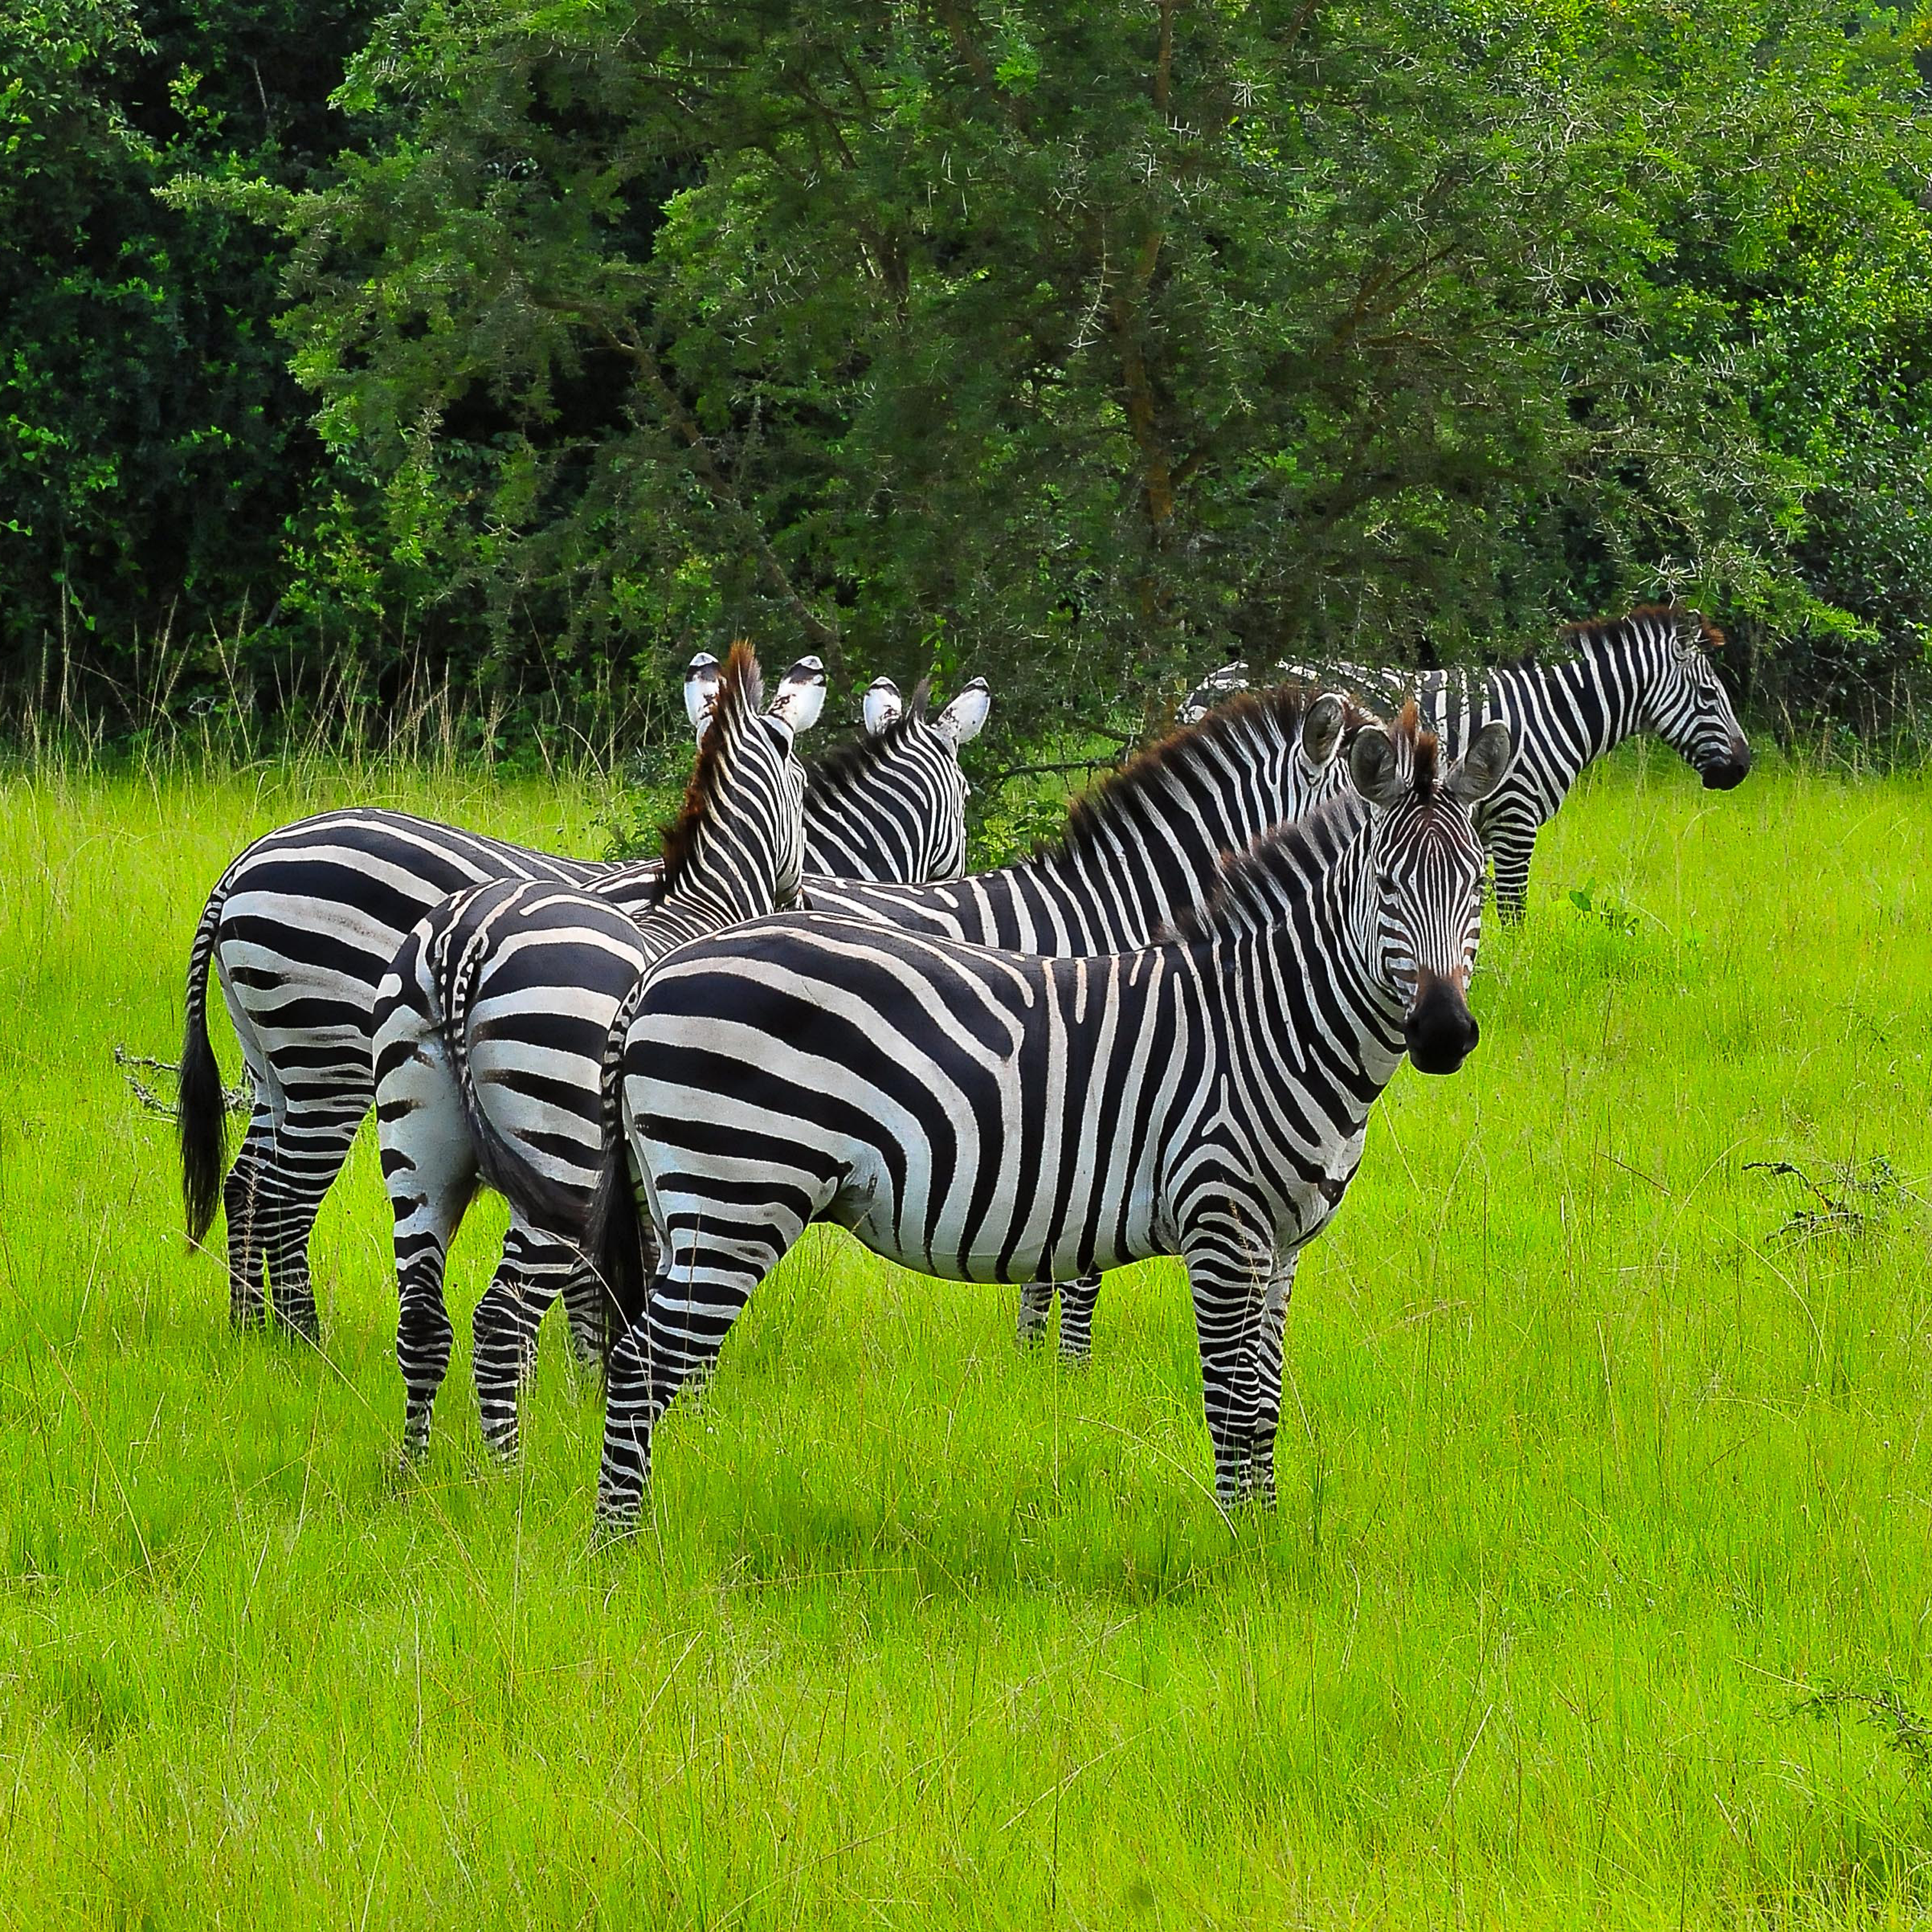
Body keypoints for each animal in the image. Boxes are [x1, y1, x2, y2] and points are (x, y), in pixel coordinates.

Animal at [176, 665, 990, 1342]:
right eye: (968, 801)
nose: (805, 898)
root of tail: (244, 862)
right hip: (329, 1063)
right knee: (283, 1200)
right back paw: (302, 1342)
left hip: (274, 1058)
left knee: (247, 1186)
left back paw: (252, 1334)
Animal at [374, 644, 825, 1458]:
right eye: (805, 794)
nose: (802, 900)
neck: (696, 912)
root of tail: (465, 946)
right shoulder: (678, 1167)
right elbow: (658, 1289)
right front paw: (685, 1411)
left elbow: (607, 1295)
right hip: (562, 1147)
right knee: (500, 1319)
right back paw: (507, 1474)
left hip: (417, 1144)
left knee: (423, 1317)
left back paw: (415, 1473)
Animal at [584, 706, 1514, 1529]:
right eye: (1386, 887)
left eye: (1475, 885)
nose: (1443, 1034)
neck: (1269, 1020)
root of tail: (656, 974)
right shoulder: (1219, 1223)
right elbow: (1231, 1401)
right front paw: (1236, 1549)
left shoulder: (1281, 1247)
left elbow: (1265, 1405)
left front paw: (1269, 1534)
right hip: (737, 1192)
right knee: (637, 1368)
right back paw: (620, 1557)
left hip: (681, 1202)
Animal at [1185, 606, 1750, 918]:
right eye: (1709, 695)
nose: (1744, 768)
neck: (1548, 712)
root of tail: (1206, 683)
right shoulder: (1516, 818)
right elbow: (1514, 912)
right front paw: (1519, 975)